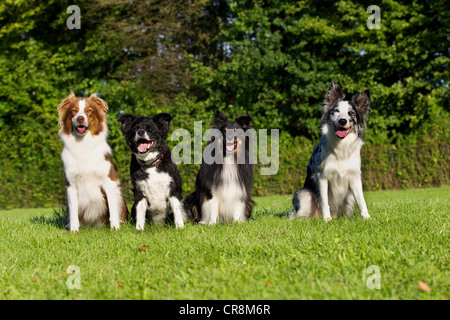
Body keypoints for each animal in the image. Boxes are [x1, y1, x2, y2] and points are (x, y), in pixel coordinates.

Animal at [57, 94, 126, 231]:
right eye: (74, 110)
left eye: (89, 110)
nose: (80, 118)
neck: (83, 144)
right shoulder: (71, 185)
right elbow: (73, 212)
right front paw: (74, 231)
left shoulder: (109, 182)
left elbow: (113, 210)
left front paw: (115, 229)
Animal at [290, 81, 370, 221]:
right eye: (336, 111)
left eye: (351, 113)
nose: (342, 121)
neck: (340, 147)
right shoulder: (322, 177)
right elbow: (324, 201)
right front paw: (327, 220)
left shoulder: (355, 178)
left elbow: (361, 200)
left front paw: (367, 218)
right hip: (304, 194)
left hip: (349, 197)